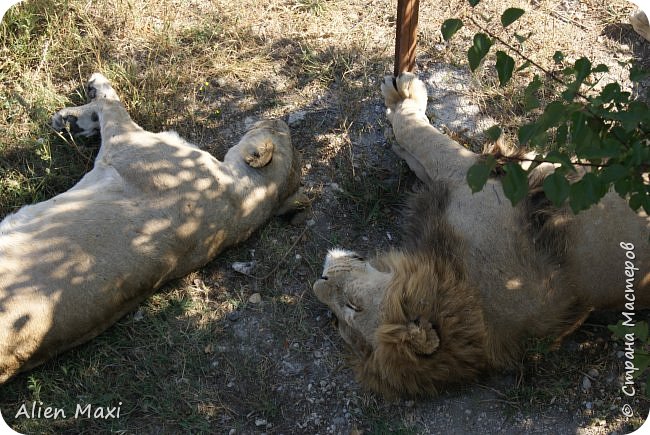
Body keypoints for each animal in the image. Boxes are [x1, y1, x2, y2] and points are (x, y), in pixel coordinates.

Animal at [0, 74, 304, 384]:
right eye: (281, 132)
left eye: (273, 131)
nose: (277, 119)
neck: (244, 202)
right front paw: (74, 121)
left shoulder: (127, 142)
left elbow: (113, 106)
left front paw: (94, 88)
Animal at [312, 72, 644, 398]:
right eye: (338, 319)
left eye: (352, 307)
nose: (319, 282)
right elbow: (422, 148)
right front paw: (403, 111)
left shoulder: (468, 178)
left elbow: (423, 145)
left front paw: (401, 100)